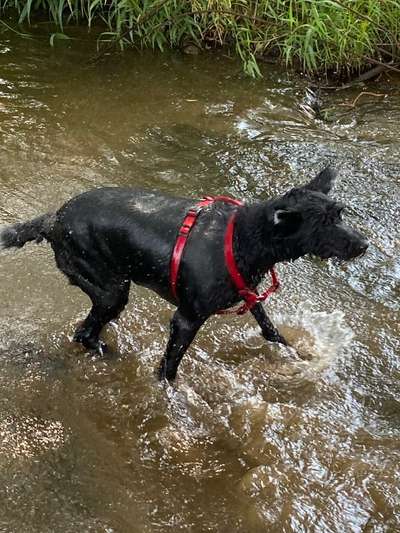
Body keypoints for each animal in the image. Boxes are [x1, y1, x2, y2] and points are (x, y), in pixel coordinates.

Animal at [0, 166, 368, 378]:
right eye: (323, 224)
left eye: (339, 214)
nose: (364, 244)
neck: (245, 238)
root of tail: (53, 219)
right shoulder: (187, 319)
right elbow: (170, 367)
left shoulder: (248, 293)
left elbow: (271, 331)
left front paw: (299, 355)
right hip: (110, 289)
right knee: (85, 333)